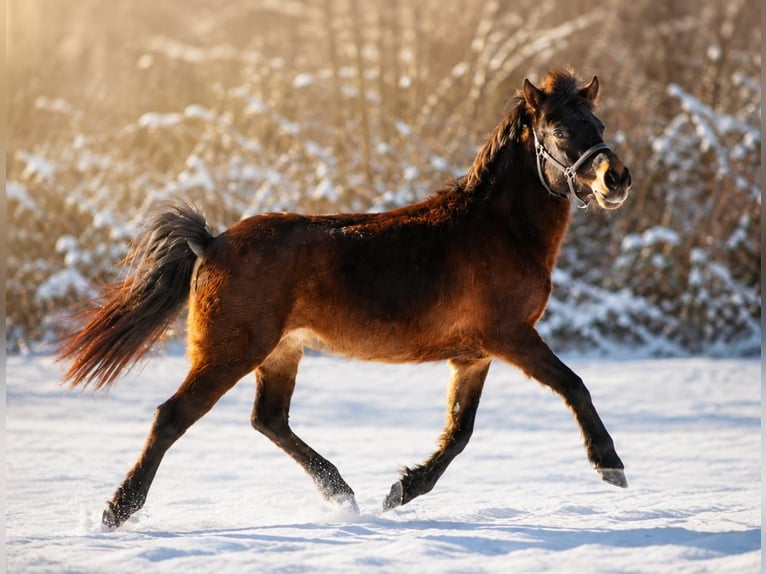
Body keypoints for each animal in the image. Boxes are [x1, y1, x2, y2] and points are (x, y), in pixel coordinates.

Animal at [59, 69, 632, 529]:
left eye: (600, 126)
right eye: (560, 130)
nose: (616, 178)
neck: (499, 230)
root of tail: (212, 242)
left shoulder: (474, 355)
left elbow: (459, 431)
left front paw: (402, 489)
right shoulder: (511, 336)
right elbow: (573, 385)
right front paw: (610, 464)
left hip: (280, 352)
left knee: (268, 419)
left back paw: (341, 493)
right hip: (230, 352)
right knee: (173, 416)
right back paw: (118, 511)